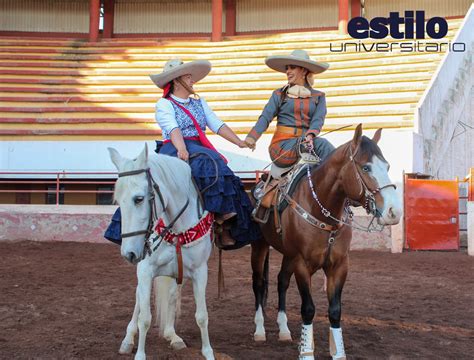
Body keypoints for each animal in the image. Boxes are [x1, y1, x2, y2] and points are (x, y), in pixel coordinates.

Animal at [108, 144, 214, 360]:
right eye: (118, 201)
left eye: (139, 199)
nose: (129, 253)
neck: (178, 230)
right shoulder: (145, 270)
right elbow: (144, 318)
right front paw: (139, 354)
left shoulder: (200, 272)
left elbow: (202, 316)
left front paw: (208, 352)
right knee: (138, 299)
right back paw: (128, 339)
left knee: (171, 295)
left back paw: (173, 336)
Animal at [250, 125, 402, 358]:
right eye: (366, 168)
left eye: (387, 166)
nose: (394, 212)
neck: (321, 207)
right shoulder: (302, 264)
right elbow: (308, 309)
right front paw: (306, 351)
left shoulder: (339, 265)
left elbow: (335, 311)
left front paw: (338, 352)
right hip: (259, 246)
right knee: (258, 283)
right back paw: (259, 330)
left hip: (287, 254)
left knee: (282, 281)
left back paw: (284, 329)